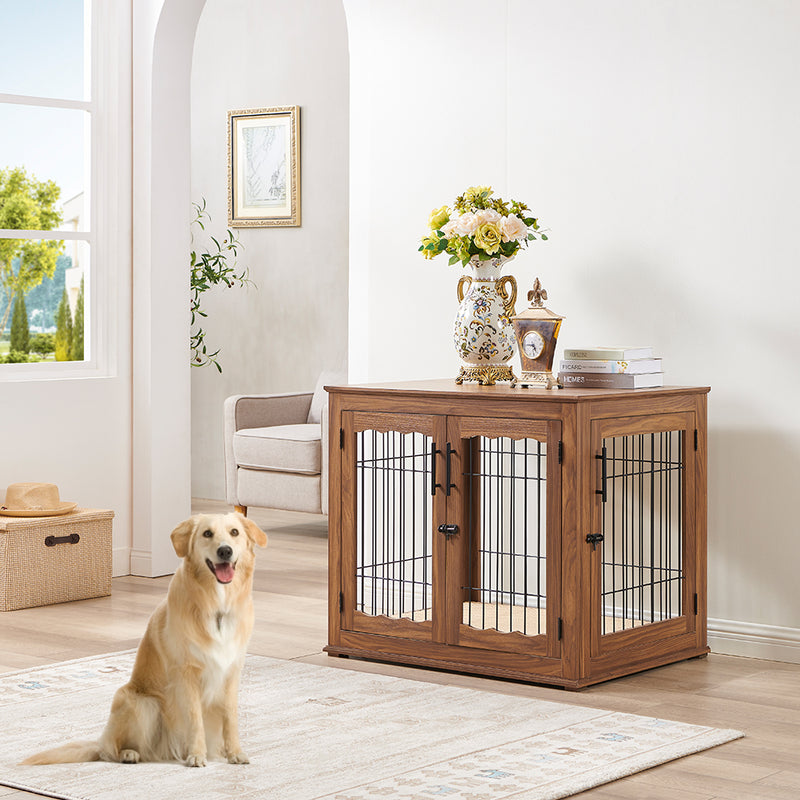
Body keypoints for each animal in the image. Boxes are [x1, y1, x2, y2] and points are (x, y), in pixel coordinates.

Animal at [23, 512, 268, 768]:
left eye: (234, 532)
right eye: (207, 533)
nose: (225, 551)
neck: (217, 607)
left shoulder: (231, 671)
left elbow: (230, 718)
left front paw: (235, 753)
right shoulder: (186, 673)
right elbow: (195, 719)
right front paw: (196, 755)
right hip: (142, 703)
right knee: (111, 751)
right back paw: (129, 754)